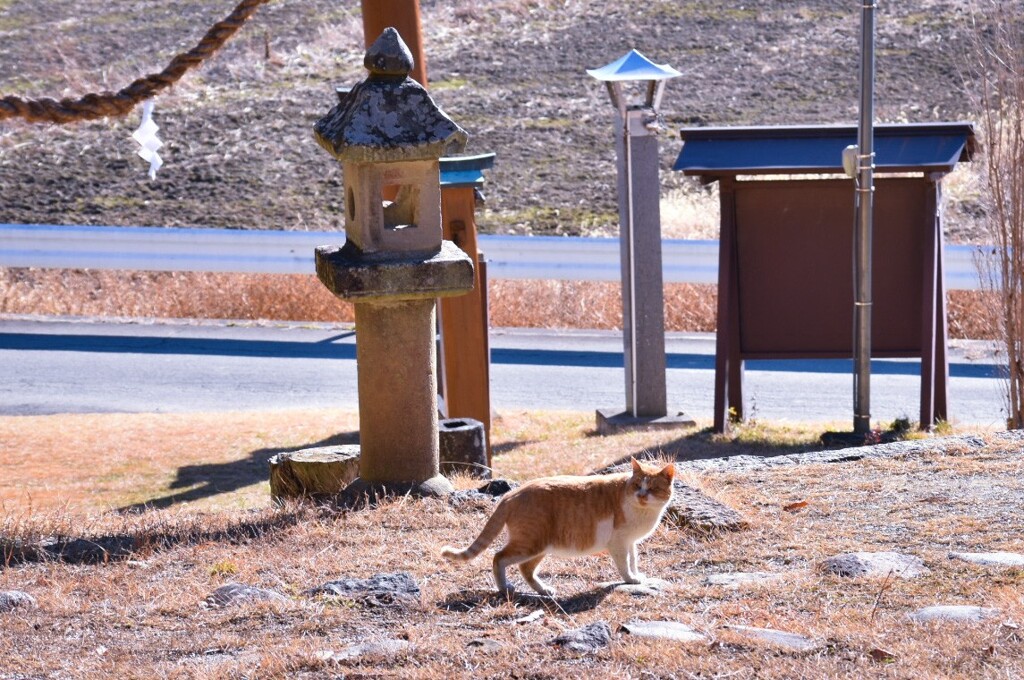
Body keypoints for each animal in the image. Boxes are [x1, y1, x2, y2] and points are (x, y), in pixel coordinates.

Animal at [440, 456, 671, 593]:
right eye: (637, 485)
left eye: (652, 488)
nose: (642, 496)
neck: (642, 510)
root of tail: (511, 494)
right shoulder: (619, 543)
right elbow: (624, 565)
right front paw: (631, 579)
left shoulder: (630, 542)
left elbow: (633, 560)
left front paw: (636, 575)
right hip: (529, 544)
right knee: (498, 557)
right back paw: (505, 588)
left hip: (539, 547)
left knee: (525, 569)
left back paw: (543, 590)